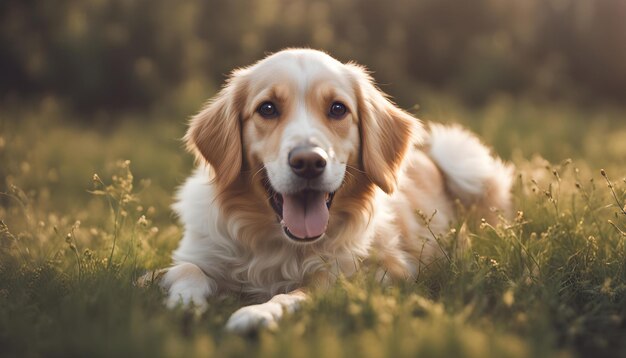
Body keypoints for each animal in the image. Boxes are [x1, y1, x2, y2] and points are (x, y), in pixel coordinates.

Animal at [160, 47, 512, 332]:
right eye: (268, 109)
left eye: (338, 109)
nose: (308, 162)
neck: (280, 245)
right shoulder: (197, 253)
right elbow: (186, 270)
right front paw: (185, 304)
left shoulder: (362, 274)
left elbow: (296, 293)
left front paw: (258, 313)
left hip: (464, 160)